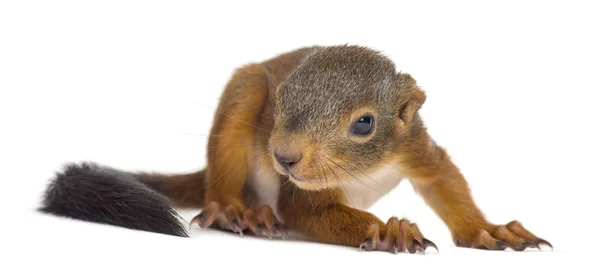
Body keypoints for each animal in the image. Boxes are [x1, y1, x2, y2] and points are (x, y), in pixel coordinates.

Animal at [39, 45, 552, 252]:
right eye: (281, 98)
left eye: (365, 123)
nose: (283, 157)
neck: (363, 171)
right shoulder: (298, 190)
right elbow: (306, 212)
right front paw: (389, 231)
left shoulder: (414, 147)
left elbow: (445, 181)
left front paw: (487, 231)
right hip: (242, 99)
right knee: (221, 189)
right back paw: (233, 211)